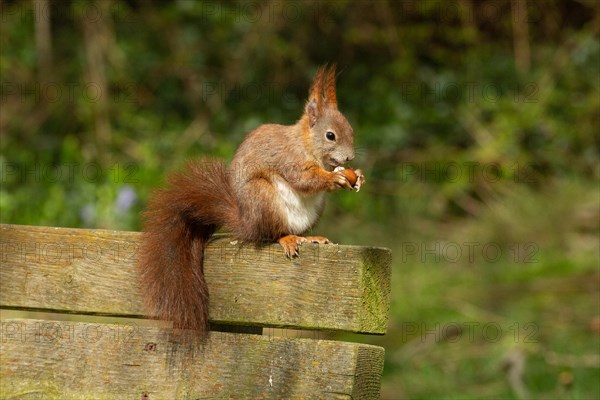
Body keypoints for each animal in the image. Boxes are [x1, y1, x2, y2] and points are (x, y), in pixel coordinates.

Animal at [137, 65, 366, 338]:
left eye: (351, 131)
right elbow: (304, 179)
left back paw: (310, 237)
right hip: (263, 197)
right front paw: (334, 178)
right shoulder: (289, 157)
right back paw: (286, 238)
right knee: (270, 234)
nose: (350, 157)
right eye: (330, 135)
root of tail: (246, 223)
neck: (307, 145)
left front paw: (358, 176)